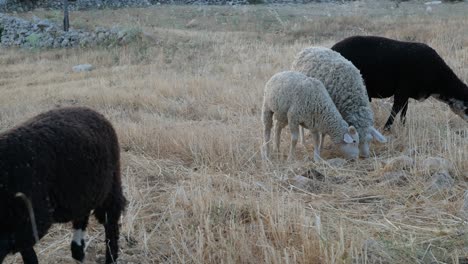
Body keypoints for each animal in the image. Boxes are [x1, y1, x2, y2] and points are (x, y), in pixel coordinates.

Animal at [0, 106, 127, 264]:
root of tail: (90, 110)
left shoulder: (28, 219)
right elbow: (28, 254)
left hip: (111, 184)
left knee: (111, 219)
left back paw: (109, 257)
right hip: (83, 190)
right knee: (82, 215)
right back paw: (78, 252)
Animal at [330, 35, 468, 130]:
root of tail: (332, 48)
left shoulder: (406, 94)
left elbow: (403, 112)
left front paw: (402, 126)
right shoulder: (402, 91)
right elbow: (395, 110)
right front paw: (387, 128)